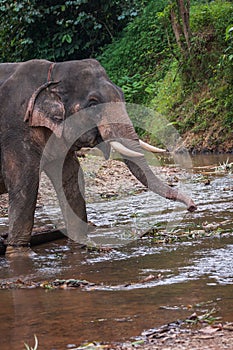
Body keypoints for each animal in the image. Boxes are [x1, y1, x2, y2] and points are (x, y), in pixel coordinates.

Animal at [0, 58, 197, 256]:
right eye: (93, 104)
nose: (192, 206)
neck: (53, 71)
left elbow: (72, 178)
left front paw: (83, 243)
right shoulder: (15, 132)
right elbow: (25, 185)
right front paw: (17, 251)